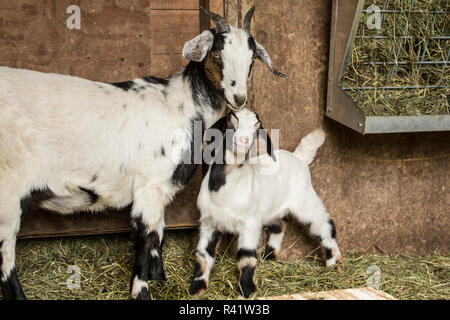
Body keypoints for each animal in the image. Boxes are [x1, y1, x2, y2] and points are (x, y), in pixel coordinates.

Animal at [0, 6, 288, 298]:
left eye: (252, 58)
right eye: (216, 54)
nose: (239, 98)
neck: (183, 107)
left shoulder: (161, 188)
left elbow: (159, 235)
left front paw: (159, 277)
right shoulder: (150, 185)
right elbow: (147, 238)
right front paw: (141, 290)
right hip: (8, 191)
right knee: (5, 256)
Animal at [189, 109, 342, 298]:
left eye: (257, 128)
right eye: (230, 122)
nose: (243, 141)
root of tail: (298, 157)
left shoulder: (250, 224)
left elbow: (246, 257)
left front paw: (246, 291)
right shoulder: (209, 223)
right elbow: (203, 253)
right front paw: (197, 287)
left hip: (305, 201)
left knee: (325, 225)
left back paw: (334, 263)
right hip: (274, 209)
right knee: (280, 225)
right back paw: (269, 256)